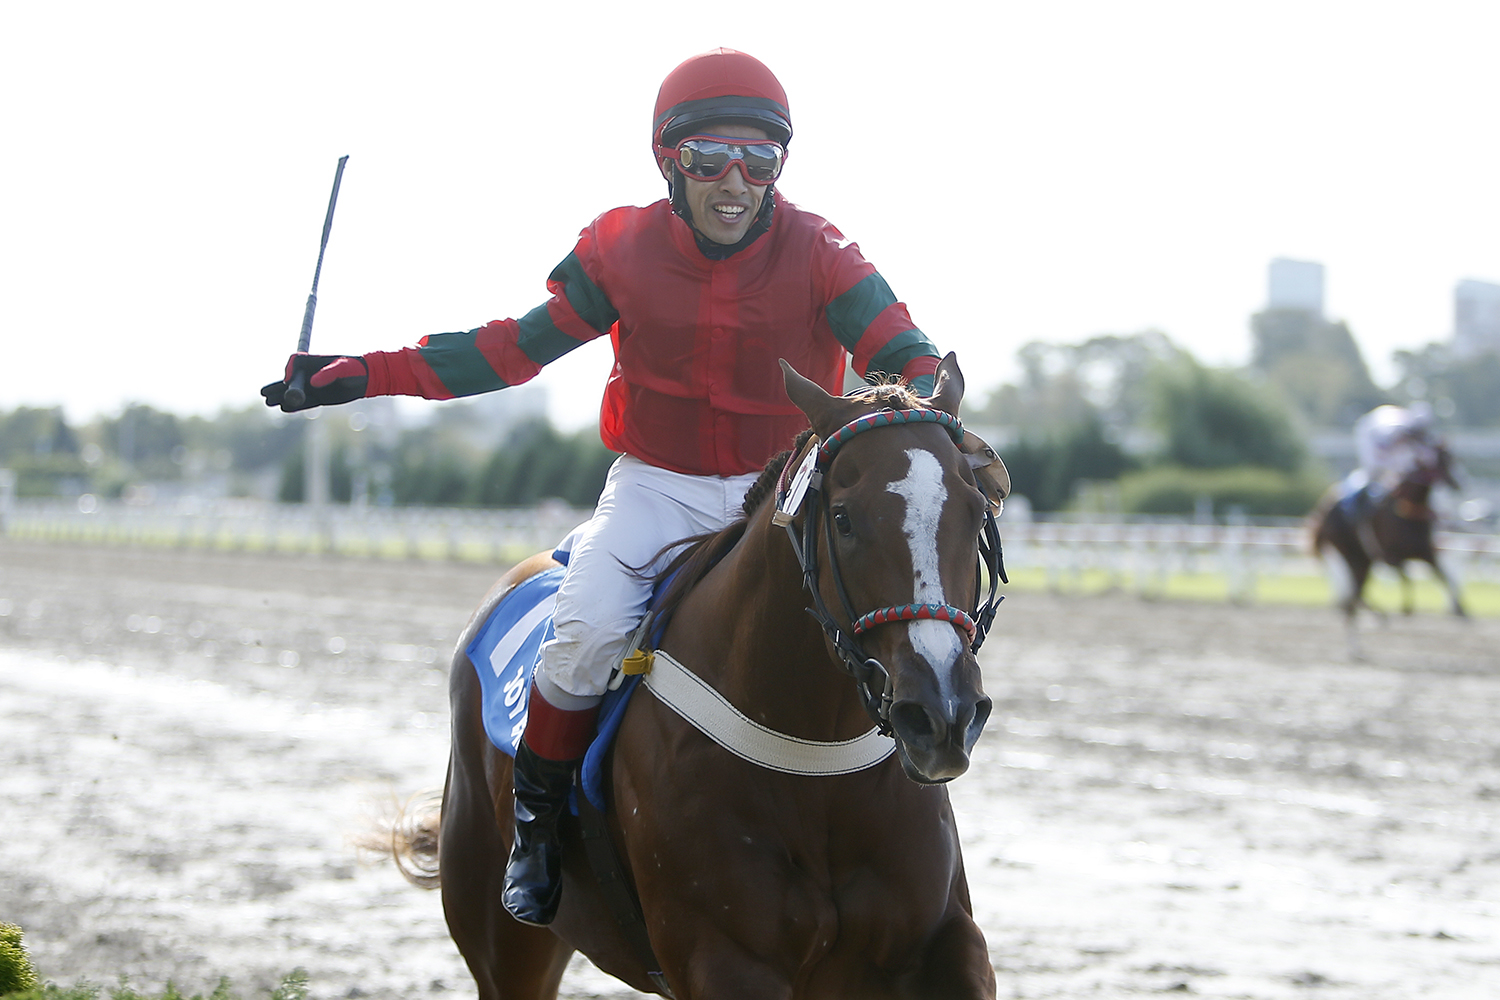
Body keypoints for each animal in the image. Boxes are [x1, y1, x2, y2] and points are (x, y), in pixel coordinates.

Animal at [389, 355, 1002, 999]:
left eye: (977, 511)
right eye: (844, 519)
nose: (941, 714)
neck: (814, 760)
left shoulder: (945, 941)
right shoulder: (725, 959)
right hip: (502, 931)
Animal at [1310, 443, 1465, 651]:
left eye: (1453, 458)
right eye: (1440, 461)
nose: (1458, 483)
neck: (1408, 511)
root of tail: (1324, 510)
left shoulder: (1426, 553)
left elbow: (1444, 576)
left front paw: (1462, 610)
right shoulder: (1390, 556)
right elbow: (1408, 578)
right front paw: (1406, 607)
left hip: (1364, 560)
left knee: (1355, 593)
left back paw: (1370, 625)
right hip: (1353, 555)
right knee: (1354, 594)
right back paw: (1364, 633)